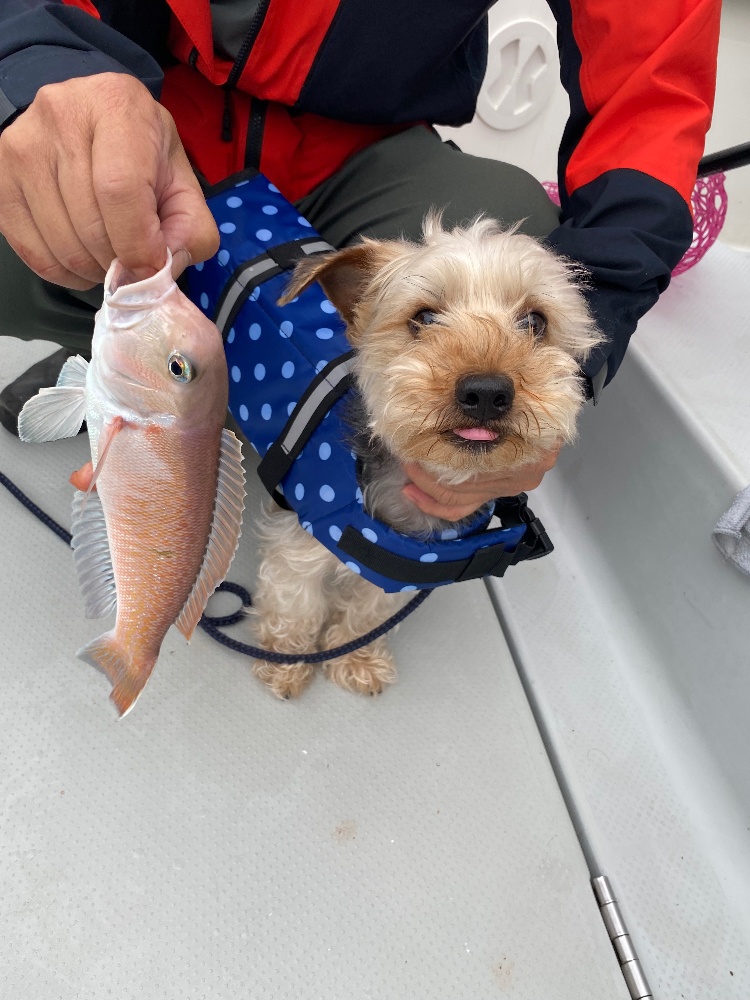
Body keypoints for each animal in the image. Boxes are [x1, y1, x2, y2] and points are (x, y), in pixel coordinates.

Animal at [250, 214, 602, 699]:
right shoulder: (297, 544)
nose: (487, 391)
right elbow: (295, 605)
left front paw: (356, 660)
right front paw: (287, 662)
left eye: (535, 321)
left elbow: (367, 613)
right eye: (424, 317)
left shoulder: (400, 568)